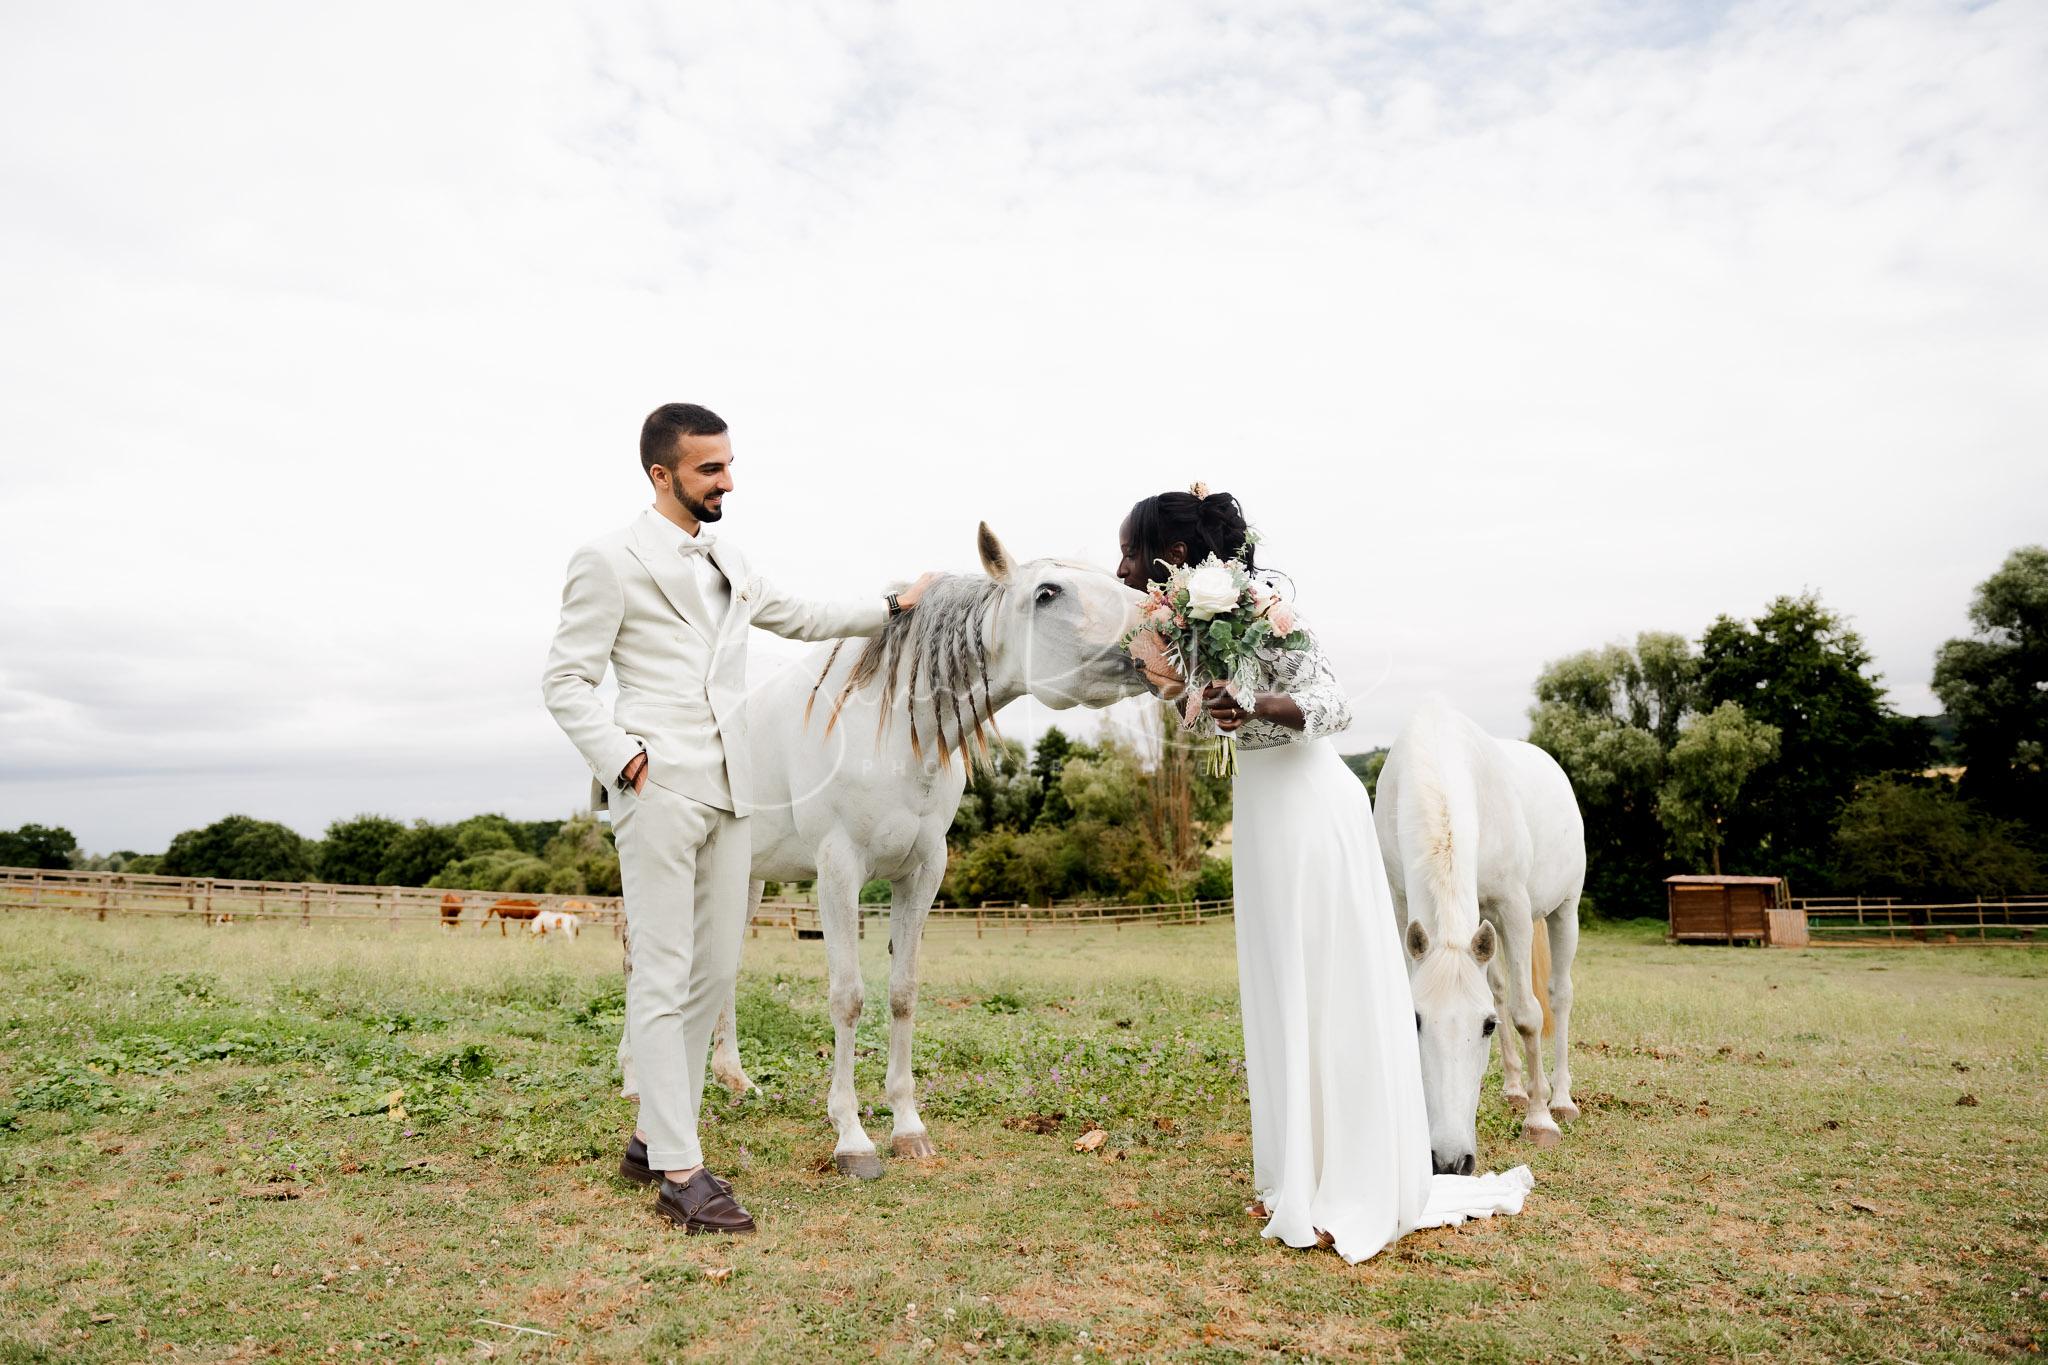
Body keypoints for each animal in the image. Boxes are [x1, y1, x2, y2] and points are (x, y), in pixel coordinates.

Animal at [618, 523, 1149, 1177]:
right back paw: (636, 1082)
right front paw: (852, 1136)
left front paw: (906, 1125)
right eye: (1048, 592)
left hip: (743, 881)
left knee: (719, 969)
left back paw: (733, 1079)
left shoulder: (921, 873)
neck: (893, 732)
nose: (1161, 630)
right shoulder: (839, 871)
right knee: (639, 960)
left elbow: (902, 994)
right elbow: (848, 999)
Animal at [1371, 697, 1585, 1174]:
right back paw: (1515, 1089)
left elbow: (1527, 1015)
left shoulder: (1514, 908)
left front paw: (1540, 1122)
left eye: (1486, 1026)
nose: (1451, 1162)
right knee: (1502, 988)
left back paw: (1560, 1099)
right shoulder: (1400, 904)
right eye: (1416, 1019)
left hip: (1565, 911)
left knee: (1558, 996)